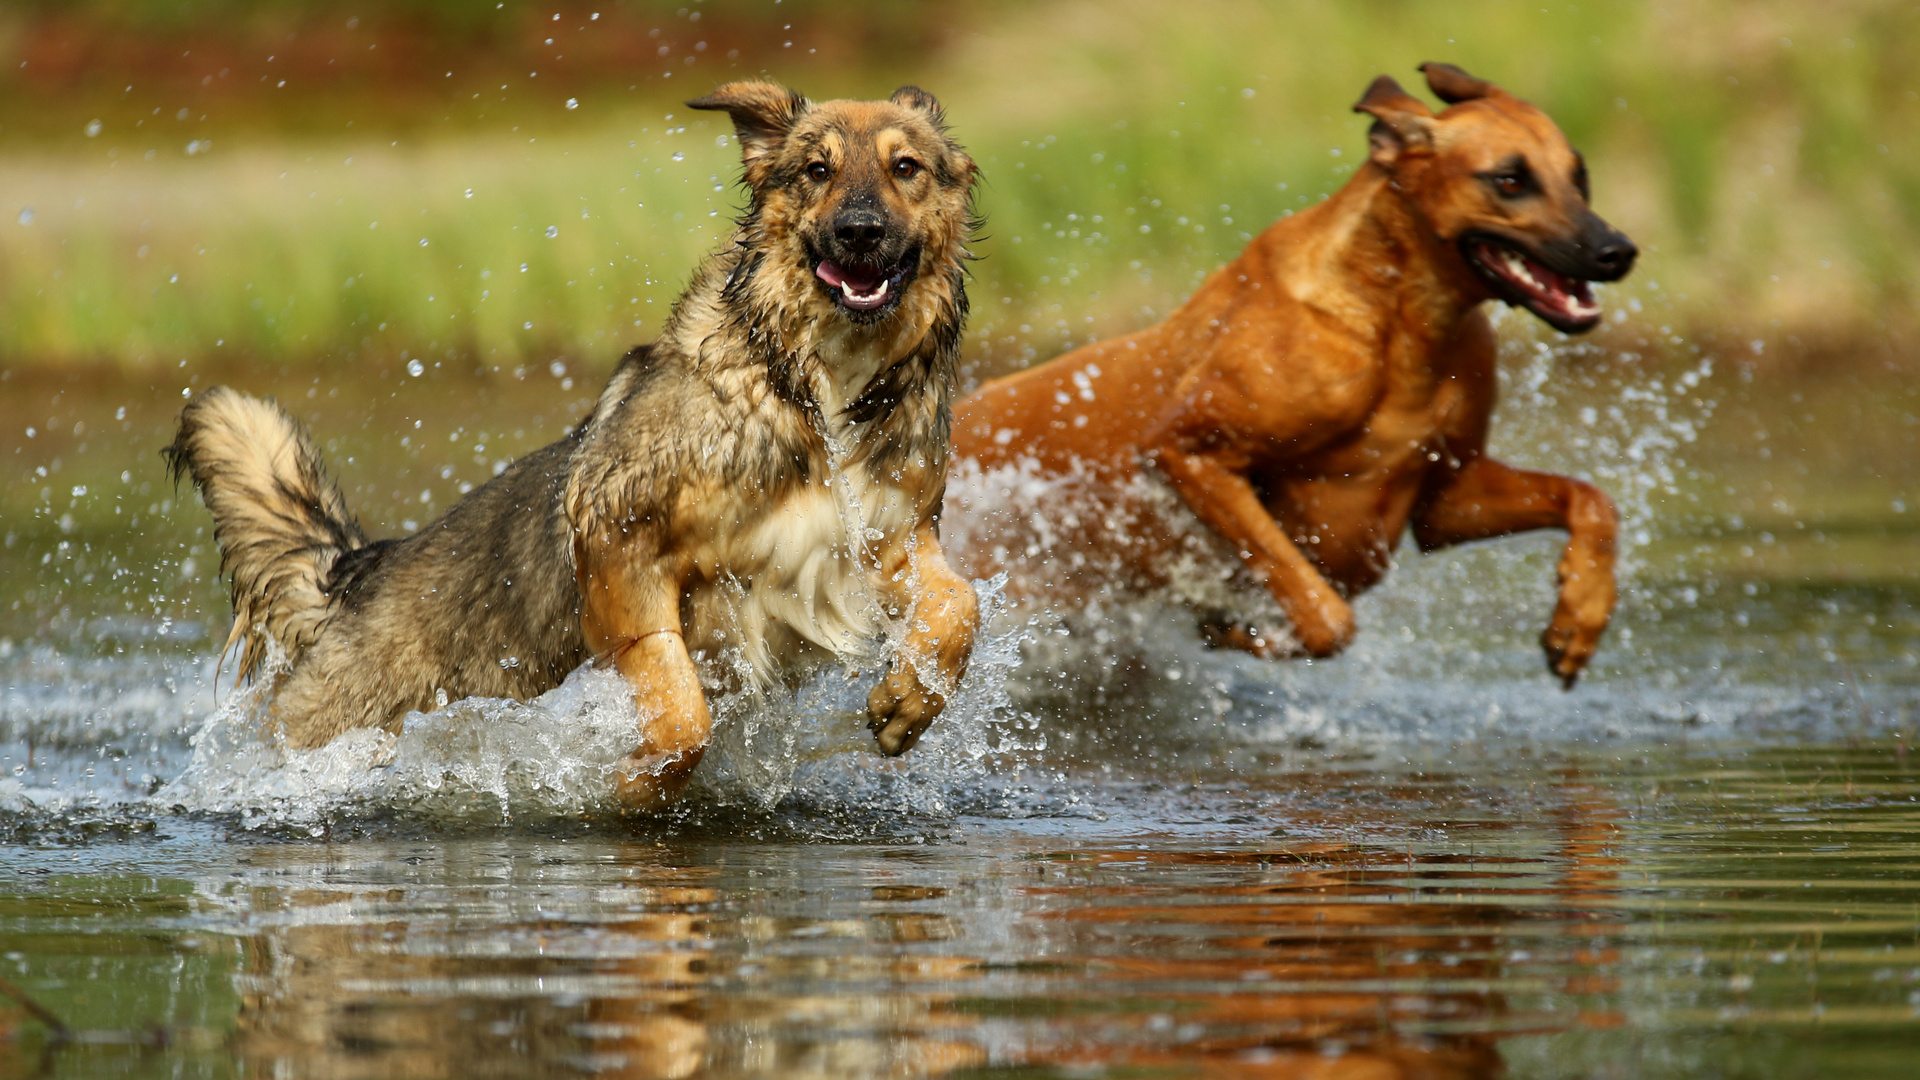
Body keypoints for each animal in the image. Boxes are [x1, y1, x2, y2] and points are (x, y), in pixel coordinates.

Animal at [170, 82, 983, 807]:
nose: (860, 232)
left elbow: (960, 604)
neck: (815, 389)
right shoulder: (617, 534)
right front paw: (637, 783)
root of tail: (354, 575)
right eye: (817, 169)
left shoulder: (886, 537)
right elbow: (677, 701)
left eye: (905, 166)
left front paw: (909, 701)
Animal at [952, 65, 1628, 680]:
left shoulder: (1449, 495)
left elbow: (1592, 499)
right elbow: (1324, 615)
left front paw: (1580, 616)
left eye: (1581, 176)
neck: (1397, 322)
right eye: (1509, 180)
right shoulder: (1189, 451)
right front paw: (1247, 631)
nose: (1618, 251)